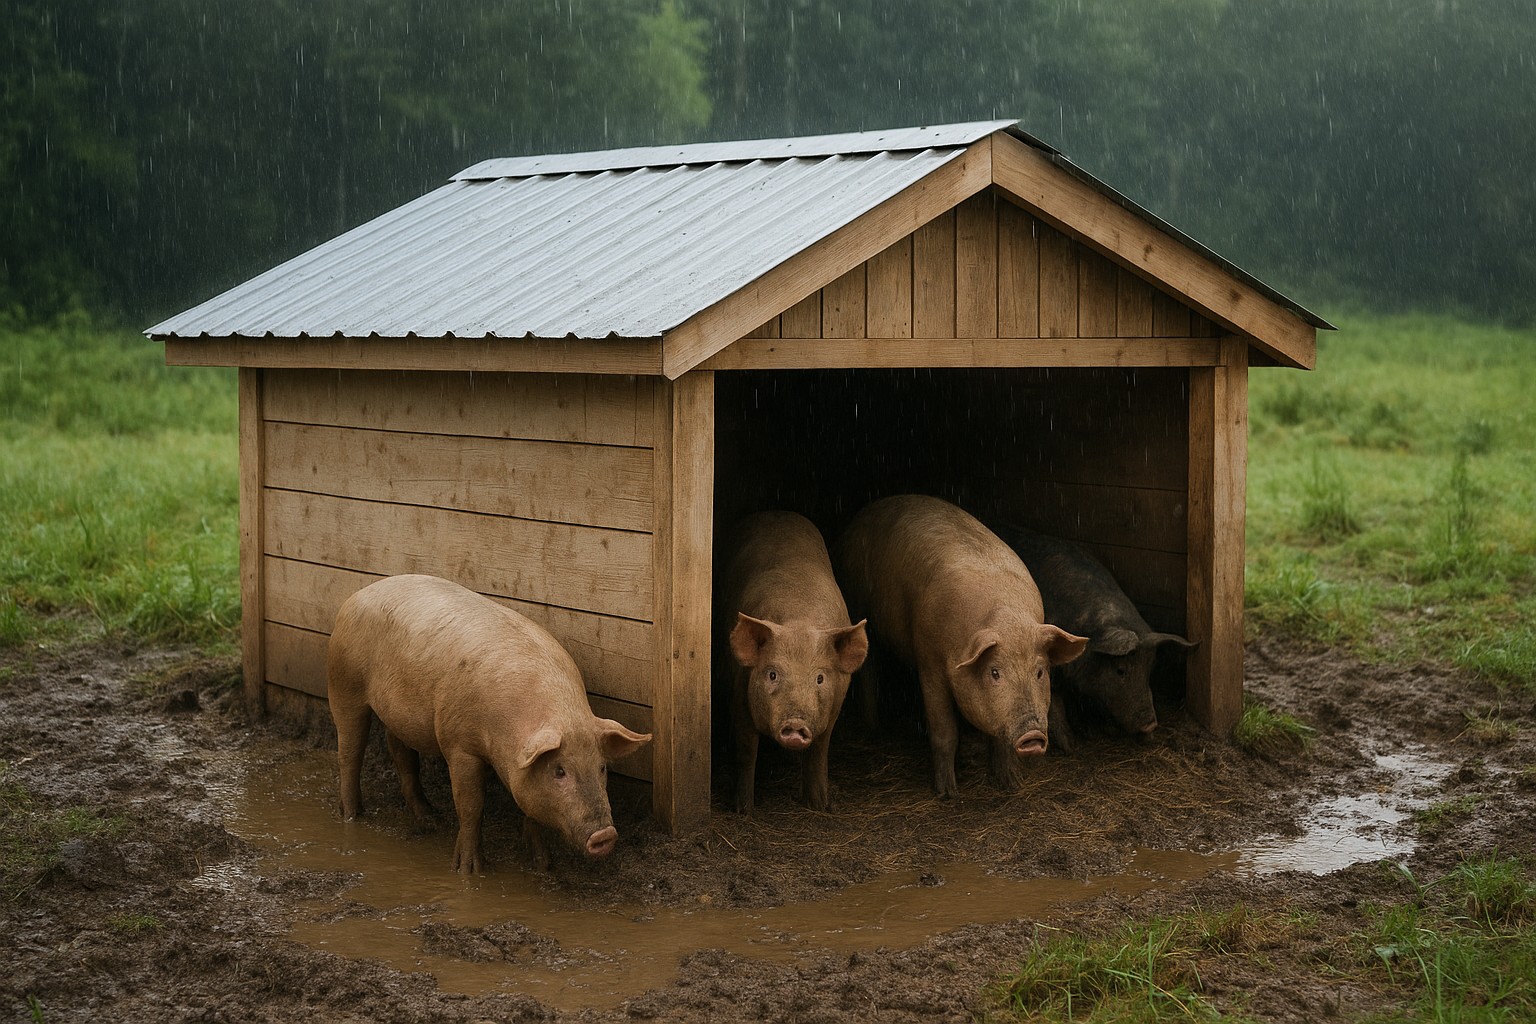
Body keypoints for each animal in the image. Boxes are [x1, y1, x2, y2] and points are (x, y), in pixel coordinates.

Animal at [326, 574, 652, 874]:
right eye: (560, 771)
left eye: (602, 767)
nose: (605, 835)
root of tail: (359, 594)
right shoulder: (459, 746)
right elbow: (471, 805)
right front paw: (469, 870)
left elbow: (529, 808)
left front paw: (544, 865)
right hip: (344, 684)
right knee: (349, 752)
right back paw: (352, 816)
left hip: (398, 717)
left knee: (402, 755)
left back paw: (431, 819)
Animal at [718, 511, 869, 813]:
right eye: (772, 674)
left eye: (820, 678)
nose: (796, 724)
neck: (800, 620)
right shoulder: (738, 692)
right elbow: (746, 751)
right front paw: (743, 810)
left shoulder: (834, 707)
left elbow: (819, 754)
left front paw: (820, 805)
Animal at [834, 495, 1087, 797]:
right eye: (994, 672)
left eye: (1039, 672)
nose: (1033, 736)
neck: (1005, 619)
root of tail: (865, 512)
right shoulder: (929, 663)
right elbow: (944, 731)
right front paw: (948, 793)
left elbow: (997, 735)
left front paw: (1012, 783)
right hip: (856, 599)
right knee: (868, 667)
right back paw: (874, 729)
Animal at [997, 527, 1196, 753]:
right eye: (1120, 670)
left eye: (1150, 669)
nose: (1151, 724)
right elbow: (1054, 702)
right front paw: (1072, 746)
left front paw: (1096, 731)